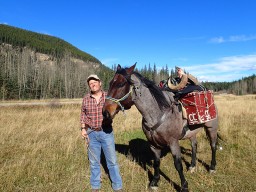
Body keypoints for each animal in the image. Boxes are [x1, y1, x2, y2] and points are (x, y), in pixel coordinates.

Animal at [103, 63, 219, 192]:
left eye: (121, 84)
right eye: (110, 83)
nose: (105, 112)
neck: (157, 113)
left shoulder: (173, 143)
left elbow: (178, 165)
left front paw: (184, 186)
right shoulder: (153, 145)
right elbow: (157, 163)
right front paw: (155, 182)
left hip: (211, 128)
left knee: (213, 145)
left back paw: (212, 167)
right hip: (192, 132)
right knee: (194, 145)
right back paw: (192, 166)